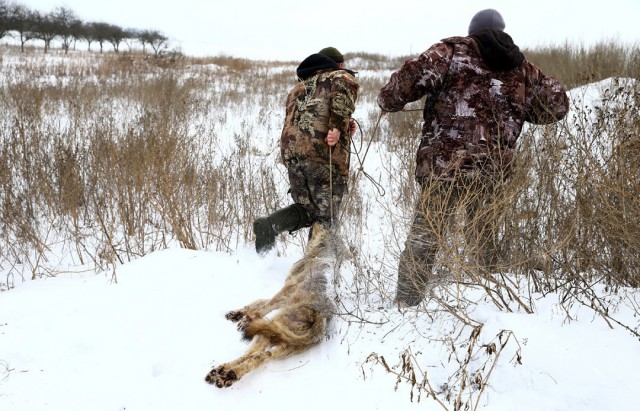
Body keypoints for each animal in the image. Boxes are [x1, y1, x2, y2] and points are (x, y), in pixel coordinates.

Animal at [208, 224, 342, 388]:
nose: (318, 222)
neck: (322, 254)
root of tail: (319, 319)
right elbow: (259, 301)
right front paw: (236, 313)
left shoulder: (285, 292)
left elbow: (264, 306)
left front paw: (244, 319)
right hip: (281, 344)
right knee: (261, 356)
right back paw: (225, 374)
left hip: (268, 329)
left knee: (251, 353)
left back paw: (224, 372)